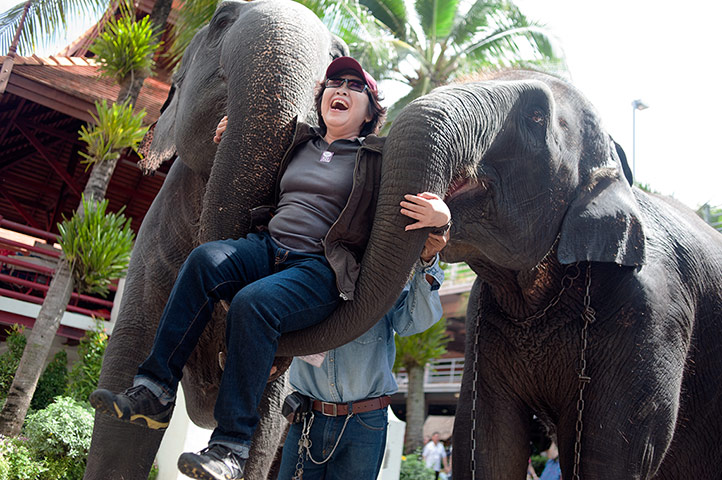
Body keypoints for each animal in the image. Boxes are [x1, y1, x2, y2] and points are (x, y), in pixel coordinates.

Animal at [83, 1, 348, 478]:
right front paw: (120, 403)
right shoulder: (152, 244)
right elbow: (125, 365)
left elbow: (267, 418)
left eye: (339, 53)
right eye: (222, 19)